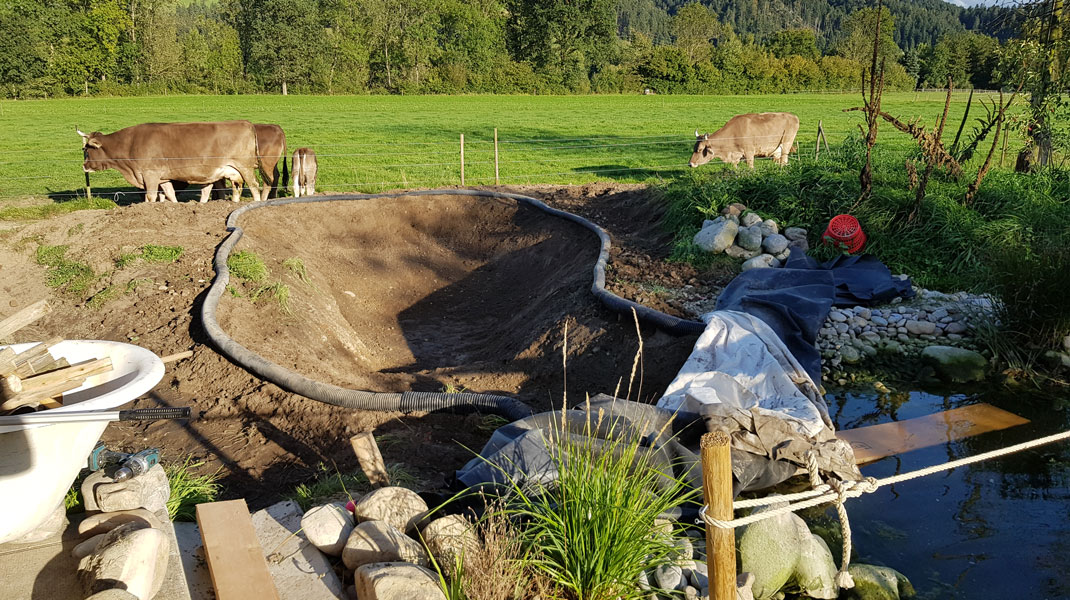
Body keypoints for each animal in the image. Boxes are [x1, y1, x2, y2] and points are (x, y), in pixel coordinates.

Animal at [79, 120, 261, 202]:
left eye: (87, 149)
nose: (84, 165)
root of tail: (245, 123)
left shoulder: (150, 175)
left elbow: (150, 196)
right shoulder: (163, 178)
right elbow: (170, 194)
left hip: (245, 167)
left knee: (254, 186)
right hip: (231, 172)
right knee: (234, 188)